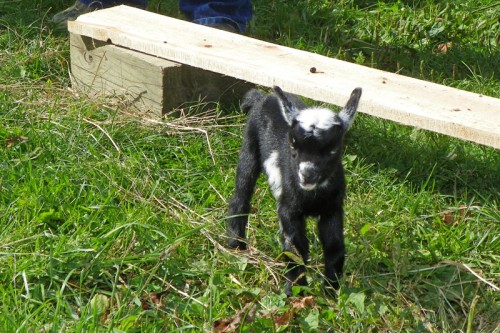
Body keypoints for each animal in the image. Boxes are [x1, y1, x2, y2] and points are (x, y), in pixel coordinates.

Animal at [228, 85, 364, 294]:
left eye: (332, 149)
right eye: (293, 145)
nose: (307, 175)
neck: (311, 196)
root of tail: (263, 97)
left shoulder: (333, 208)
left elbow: (334, 247)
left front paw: (331, 290)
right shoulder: (288, 208)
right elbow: (295, 249)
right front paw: (295, 290)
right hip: (250, 144)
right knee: (241, 193)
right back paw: (236, 246)